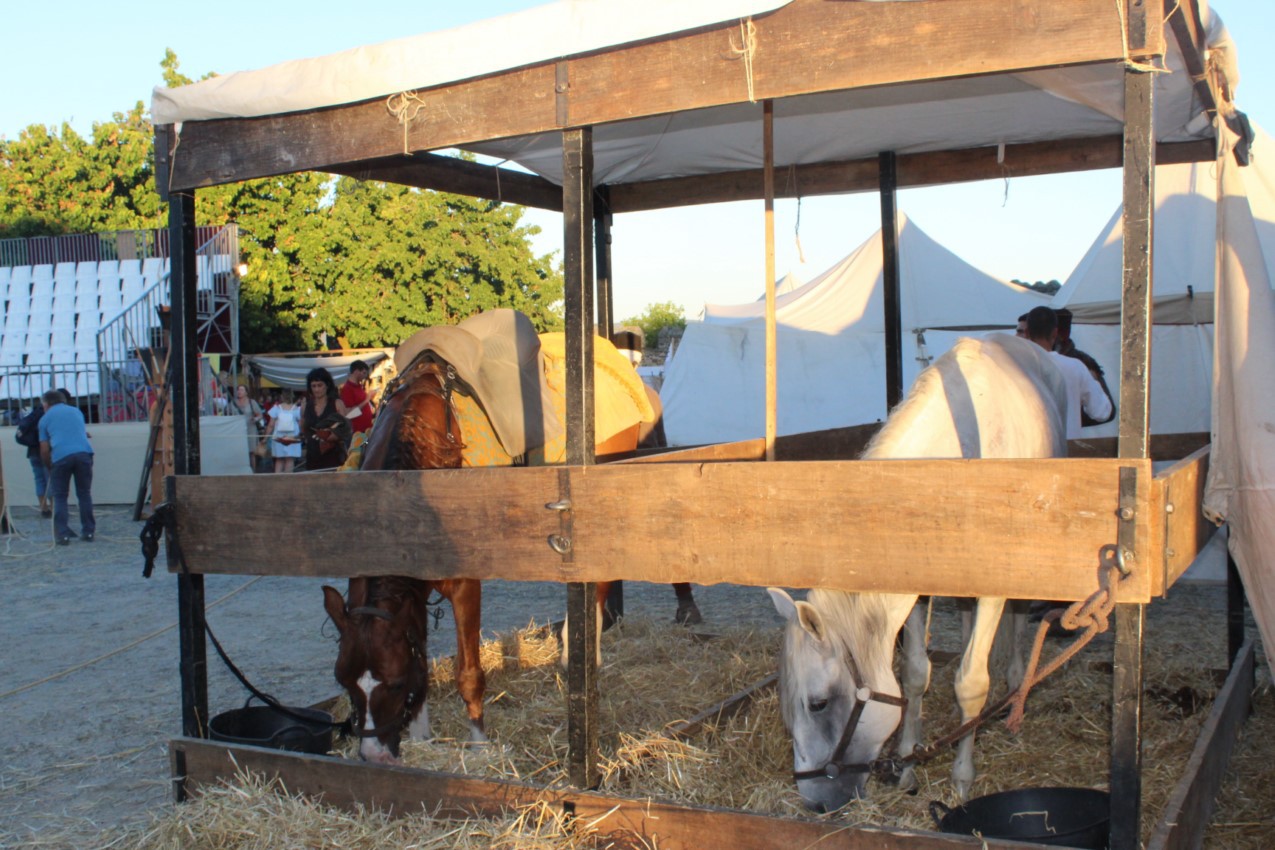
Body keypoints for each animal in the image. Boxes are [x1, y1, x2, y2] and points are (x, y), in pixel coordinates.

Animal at [765, 331, 1065, 810]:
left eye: (818, 704)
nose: (814, 801)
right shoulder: (917, 586)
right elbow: (914, 676)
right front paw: (907, 764)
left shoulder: (994, 587)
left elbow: (972, 683)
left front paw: (961, 777)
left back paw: (1016, 690)